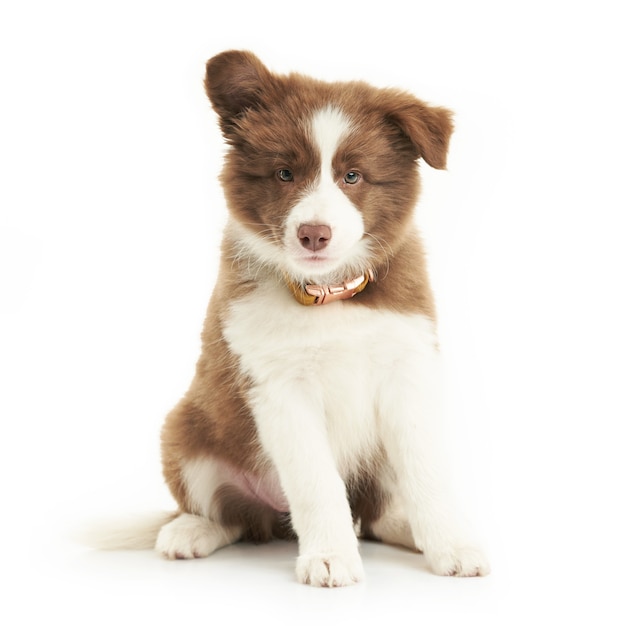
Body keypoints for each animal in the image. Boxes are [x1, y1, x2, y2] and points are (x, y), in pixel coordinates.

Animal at [155, 50, 488, 584]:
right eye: (284, 174)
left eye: (353, 176)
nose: (314, 233)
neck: (330, 295)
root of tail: (272, 518)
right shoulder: (278, 389)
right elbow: (316, 482)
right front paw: (330, 556)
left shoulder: (408, 368)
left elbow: (427, 469)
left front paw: (451, 545)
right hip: (185, 432)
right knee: (232, 516)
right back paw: (190, 531)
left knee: (374, 514)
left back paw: (405, 529)